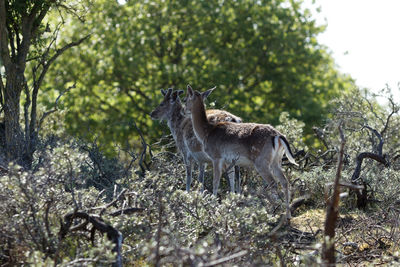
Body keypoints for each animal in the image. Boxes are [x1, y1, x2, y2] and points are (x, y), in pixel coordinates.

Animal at [184, 86, 296, 220]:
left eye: (185, 99)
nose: (184, 110)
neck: (206, 133)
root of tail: (278, 136)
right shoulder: (229, 161)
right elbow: (231, 180)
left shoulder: (216, 156)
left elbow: (216, 181)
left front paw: (213, 204)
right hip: (276, 160)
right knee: (284, 181)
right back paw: (287, 214)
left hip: (261, 161)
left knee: (273, 183)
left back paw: (273, 211)